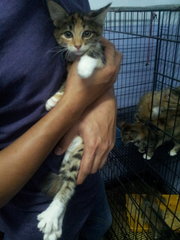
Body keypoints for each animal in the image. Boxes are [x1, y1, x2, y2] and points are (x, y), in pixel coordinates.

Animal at [37, 1, 109, 240]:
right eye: (68, 34)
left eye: (87, 33)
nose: (77, 46)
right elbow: (66, 81)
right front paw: (54, 99)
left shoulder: (103, 54)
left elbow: (94, 52)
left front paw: (84, 67)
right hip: (71, 155)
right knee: (66, 178)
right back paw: (54, 226)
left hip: (83, 151)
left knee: (69, 185)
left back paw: (51, 216)